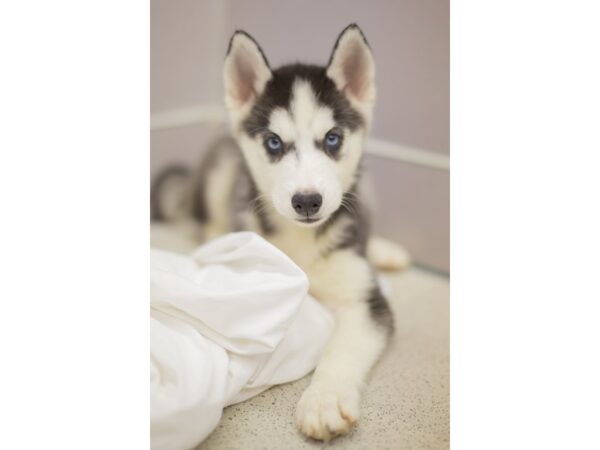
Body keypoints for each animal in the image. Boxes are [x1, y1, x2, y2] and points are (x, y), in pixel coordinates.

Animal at [152, 23, 410, 440]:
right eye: (274, 142)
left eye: (333, 138)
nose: (307, 201)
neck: (302, 243)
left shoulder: (364, 300)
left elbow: (342, 350)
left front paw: (324, 400)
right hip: (223, 168)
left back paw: (385, 249)